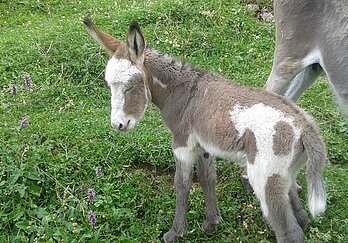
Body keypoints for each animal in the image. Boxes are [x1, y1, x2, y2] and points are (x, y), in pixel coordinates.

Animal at [84, 18, 326, 242]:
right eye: (109, 85)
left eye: (129, 87)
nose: (118, 125)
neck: (182, 91)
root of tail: (306, 127)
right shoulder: (204, 146)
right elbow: (206, 178)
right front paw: (211, 223)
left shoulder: (182, 144)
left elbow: (182, 184)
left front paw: (176, 232)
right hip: (286, 173)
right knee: (300, 216)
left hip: (265, 177)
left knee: (288, 231)